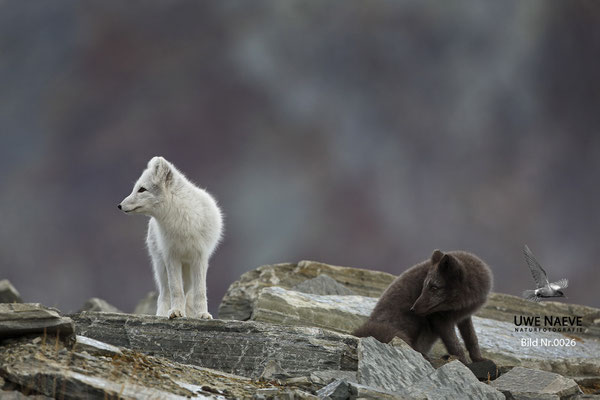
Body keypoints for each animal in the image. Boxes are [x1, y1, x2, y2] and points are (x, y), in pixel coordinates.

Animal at [117, 155, 223, 318]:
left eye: (142, 189)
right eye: (136, 188)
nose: (119, 206)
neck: (181, 220)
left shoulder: (200, 258)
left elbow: (200, 291)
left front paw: (202, 314)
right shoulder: (171, 257)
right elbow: (175, 289)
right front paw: (176, 312)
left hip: (187, 272)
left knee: (187, 292)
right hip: (161, 266)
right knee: (165, 293)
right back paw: (162, 314)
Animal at [352, 252, 492, 364]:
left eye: (434, 287)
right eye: (423, 286)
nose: (413, 309)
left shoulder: (464, 316)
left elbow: (472, 338)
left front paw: (479, 359)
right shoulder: (440, 319)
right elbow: (454, 344)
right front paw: (465, 364)